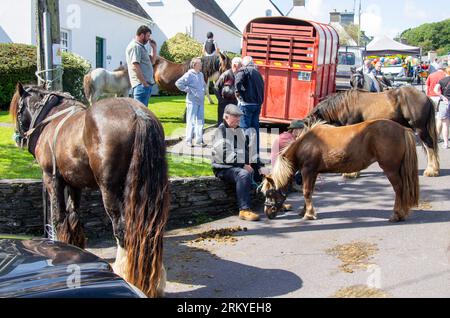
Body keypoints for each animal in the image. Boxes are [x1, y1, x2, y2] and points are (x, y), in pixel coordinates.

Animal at [8, 83, 171, 296]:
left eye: (19, 111)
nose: (18, 138)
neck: (51, 118)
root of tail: (139, 114)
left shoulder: (52, 178)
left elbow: (58, 218)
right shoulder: (74, 183)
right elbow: (73, 217)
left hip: (110, 190)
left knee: (122, 231)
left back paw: (125, 272)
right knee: (150, 232)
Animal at [262, 120, 420, 224]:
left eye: (270, 193)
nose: (267, 213)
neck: (305, 144)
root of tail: (402, 129)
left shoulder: (308, 171)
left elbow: (306, 192)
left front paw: (309, 214)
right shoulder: (314, 173)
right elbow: (310, 191)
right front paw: (305, 210)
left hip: (390, 169)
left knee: (399, 189)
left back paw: (397, 215)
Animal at [306, 86, 440, 176]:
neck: (345, 105)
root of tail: (425, 97)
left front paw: (351, 173)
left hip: (420, 128)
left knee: (429, 145)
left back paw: (431, 170)